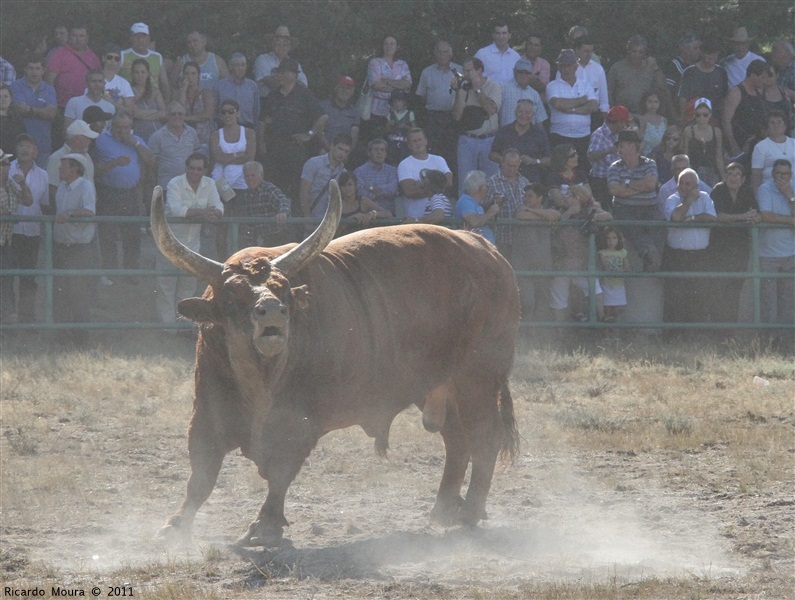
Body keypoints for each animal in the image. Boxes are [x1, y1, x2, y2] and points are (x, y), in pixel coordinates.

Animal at [151, 180, 524, 548]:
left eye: (283, 290)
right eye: (233, 295)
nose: (272, 312)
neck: (260, 380)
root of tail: (485, 250)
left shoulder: (297, 422)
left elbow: (280, 471)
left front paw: (265, 525)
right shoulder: (207, 412)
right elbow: (202, 473)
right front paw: (176, 524)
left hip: (477, 379)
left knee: (484, 436)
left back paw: (469, 512)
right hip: (438, 386)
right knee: (456, 440)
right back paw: (443, 509)